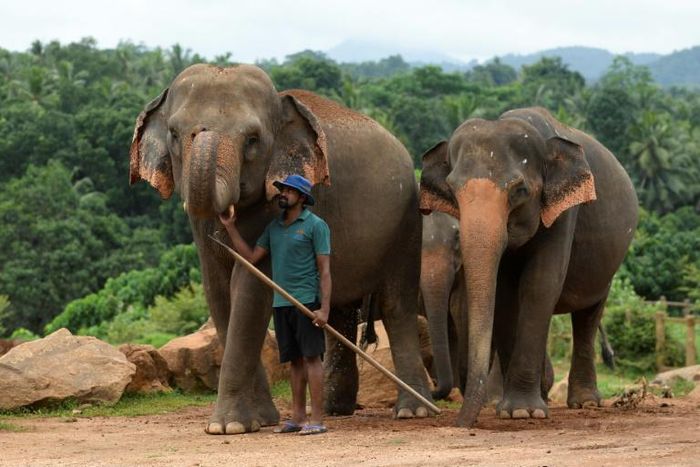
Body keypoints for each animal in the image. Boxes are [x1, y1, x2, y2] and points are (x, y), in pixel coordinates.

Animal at [129, 64, 433, 434]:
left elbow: (250, 289)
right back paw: (334, 410)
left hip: (406, 223)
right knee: (339, 313)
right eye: (173, 134)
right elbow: (218, 292)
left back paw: (413, 411)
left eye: (253, 140)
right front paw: (259, 420)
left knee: (396, 304)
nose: (225, 215)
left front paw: (228, 427)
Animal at [419, 107, 638, 427]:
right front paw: (509, 409)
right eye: (452, 189)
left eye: (519, 190)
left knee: (588, 315)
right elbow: (506, 295)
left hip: (607, 267)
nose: (460, 424)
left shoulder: (564, 214)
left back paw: (585, 403)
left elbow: (540, 285)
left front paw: (523, 411)